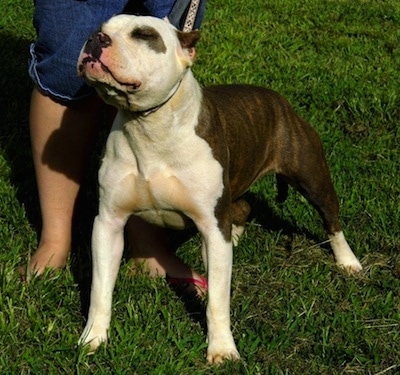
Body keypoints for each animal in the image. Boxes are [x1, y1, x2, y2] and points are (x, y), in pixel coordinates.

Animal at [76, 14, 362, 364]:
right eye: (103, 27)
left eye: (144, 35)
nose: (95, 38)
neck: (149, 127)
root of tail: (280, 101)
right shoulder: (108, 224)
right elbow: (100, 289)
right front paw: (93, 339)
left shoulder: (211, 226)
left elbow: (217, 302)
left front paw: (222, 349)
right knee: (243, 207)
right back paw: (236, 236)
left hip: (312, 177)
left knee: (331, 219)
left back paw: (348, 261)